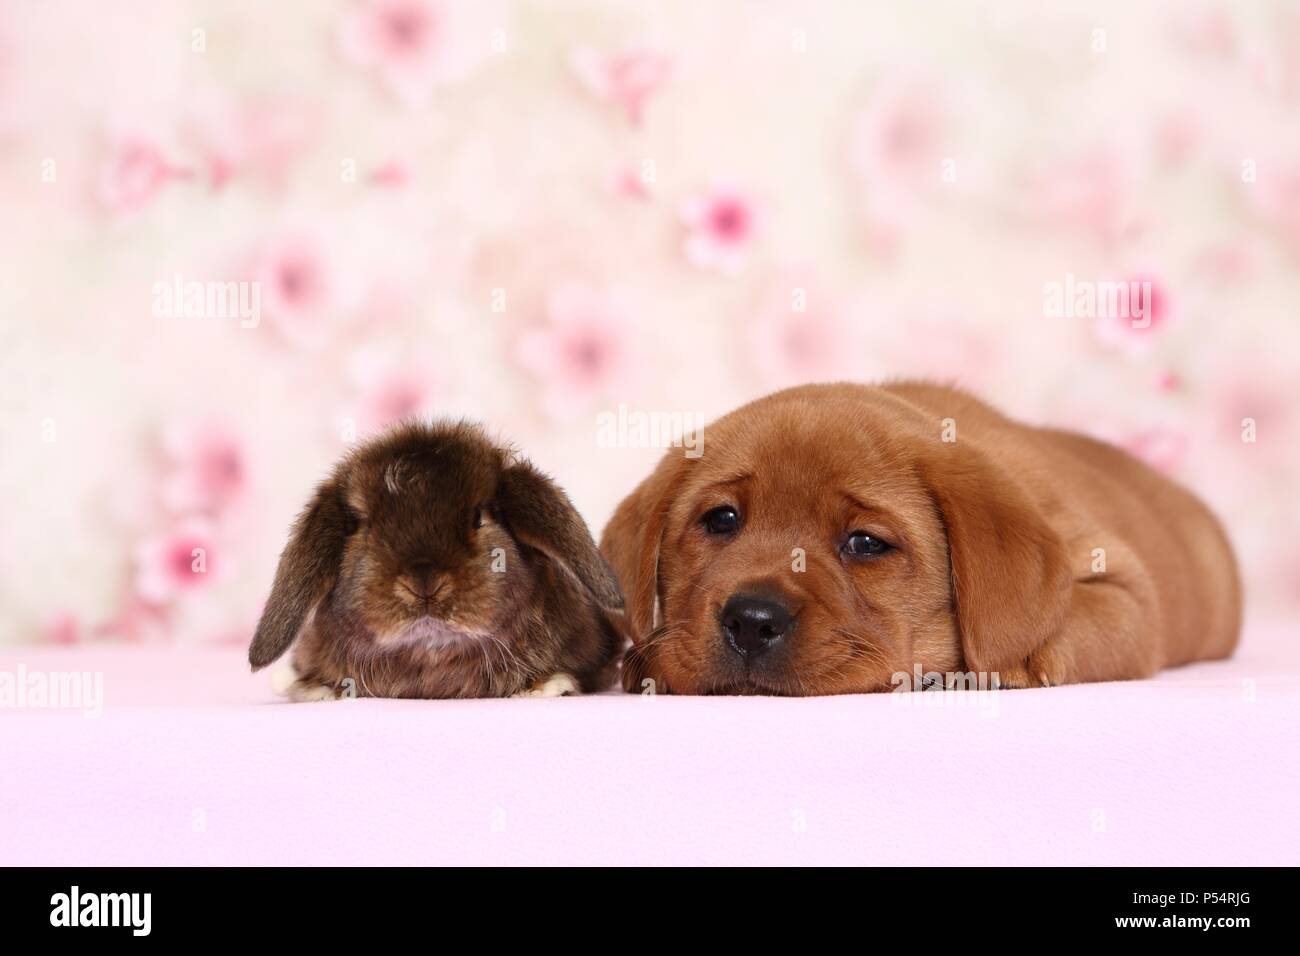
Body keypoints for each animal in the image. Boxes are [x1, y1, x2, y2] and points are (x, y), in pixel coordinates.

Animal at [598, 382, 1237, 697]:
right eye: (722, 520)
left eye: (864, 544)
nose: (751, 621)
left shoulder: (1126, 589)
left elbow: (1072, 620)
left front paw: (1013, 656)